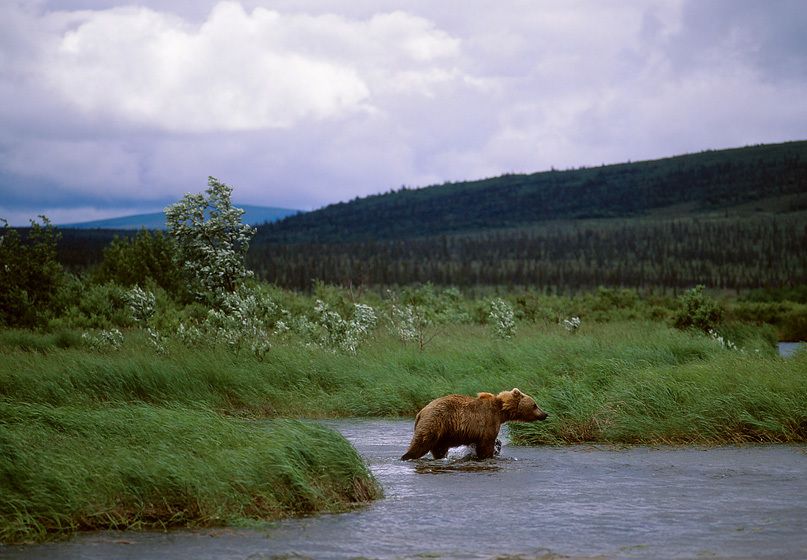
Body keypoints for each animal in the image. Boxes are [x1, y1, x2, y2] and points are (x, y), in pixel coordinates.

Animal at [400, 388, 548, 460]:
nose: (545, 414)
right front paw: (489, 454)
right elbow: (486, 443)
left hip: (443, 433)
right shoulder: (488, 420)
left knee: (439, 448)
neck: (502, 411)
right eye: (535, 405)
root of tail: (420, 412)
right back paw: (407, 456)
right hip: (435, 422)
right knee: (421, 443)